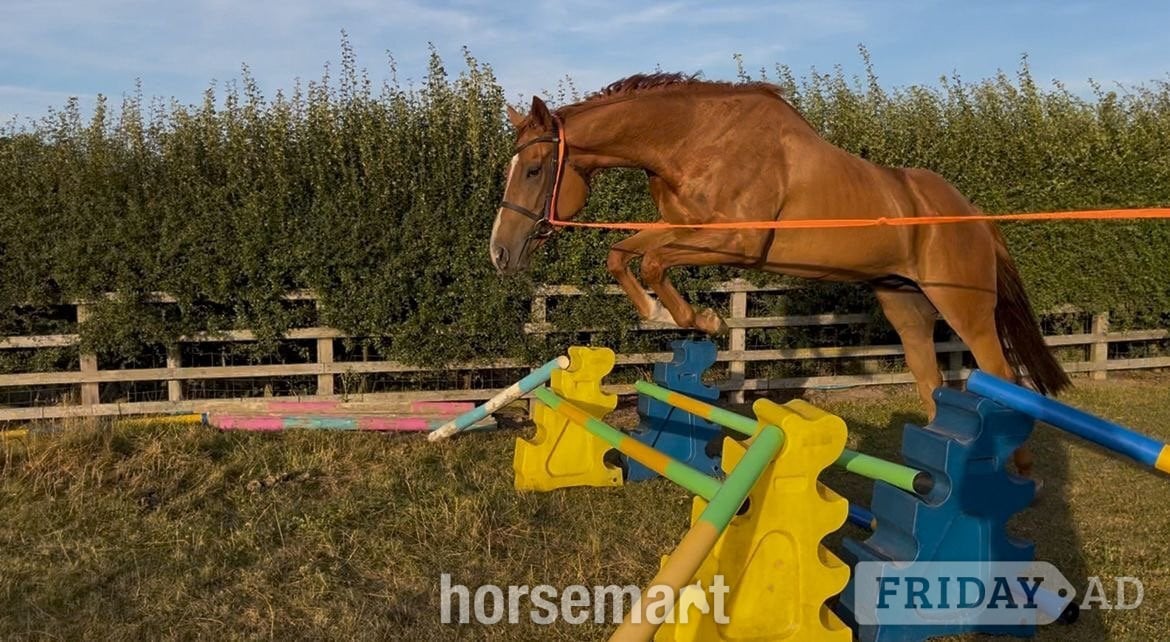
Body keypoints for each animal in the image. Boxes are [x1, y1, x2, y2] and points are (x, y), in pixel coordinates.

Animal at [489, 73, 1070, 477]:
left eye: (534, 170)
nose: (500, 253)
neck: (695, 140)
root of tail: (973, 214)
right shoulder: (684, 227)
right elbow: (623, 253)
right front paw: (663, 314)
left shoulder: (738, 243)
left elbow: (652, 262)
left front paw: (703, 320)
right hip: (905, 305)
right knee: (931, 383)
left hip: (964, 308)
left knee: (1003, 375)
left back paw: (1018, 473)